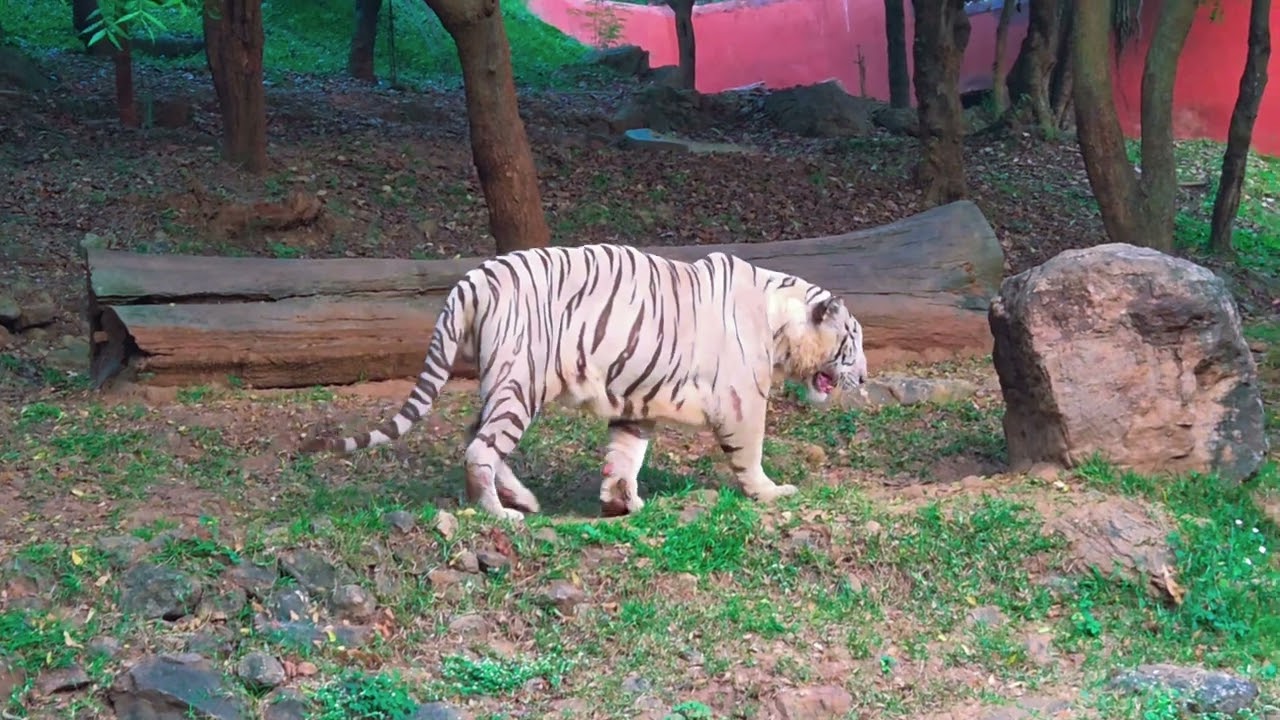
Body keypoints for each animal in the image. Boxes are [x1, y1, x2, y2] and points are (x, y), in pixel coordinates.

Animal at [299, 243, 868, 522]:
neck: (780, 320)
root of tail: (474, 277)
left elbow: (624, 456)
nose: (863, 376)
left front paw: (620, 504)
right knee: (481, 447)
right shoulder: (742, 399)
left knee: (475, 437)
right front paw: (770, 492)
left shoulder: (638, 403)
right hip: (521, 381)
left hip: (503, 384)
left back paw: (525, 501)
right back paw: (500, 515)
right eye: (852, 343)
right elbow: (750, 452)